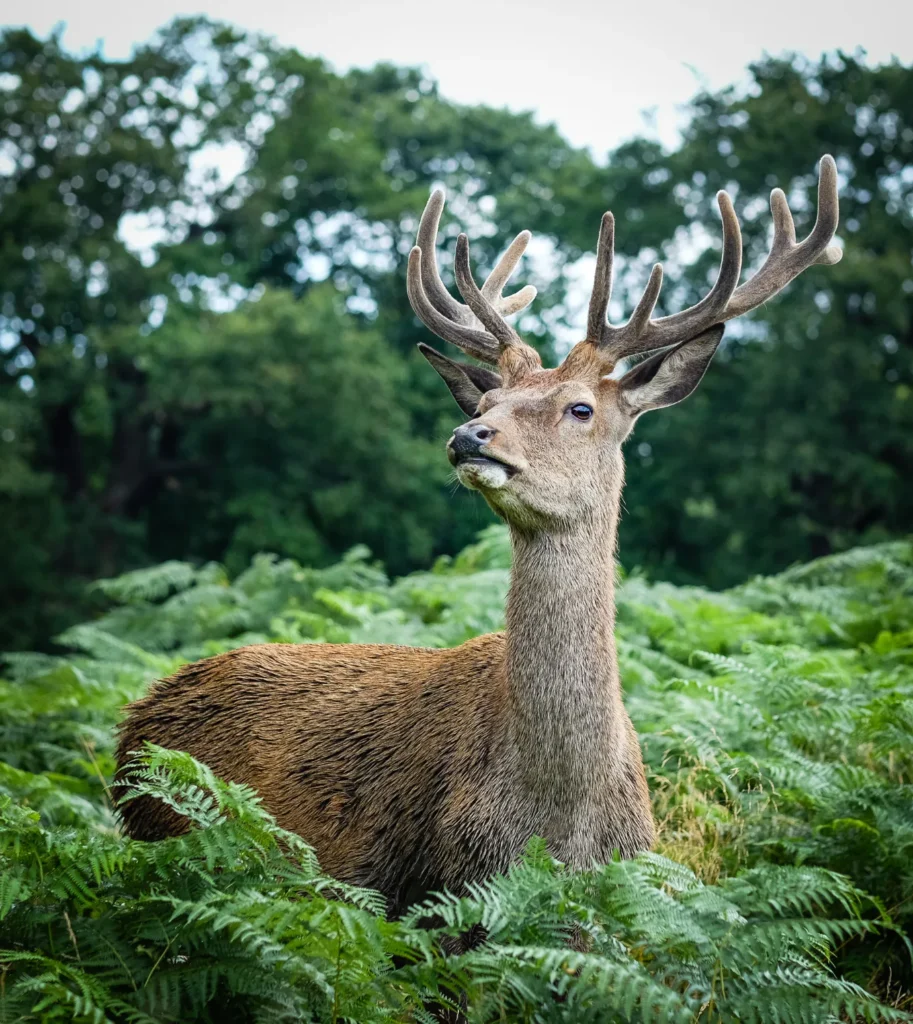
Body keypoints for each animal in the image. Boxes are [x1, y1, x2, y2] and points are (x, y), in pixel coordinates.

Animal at [116, 156, 841, 915]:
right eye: (489, 401)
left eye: (579, 408)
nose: (470, 435)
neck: (558, 824)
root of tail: (133, 723)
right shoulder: (441, 891)